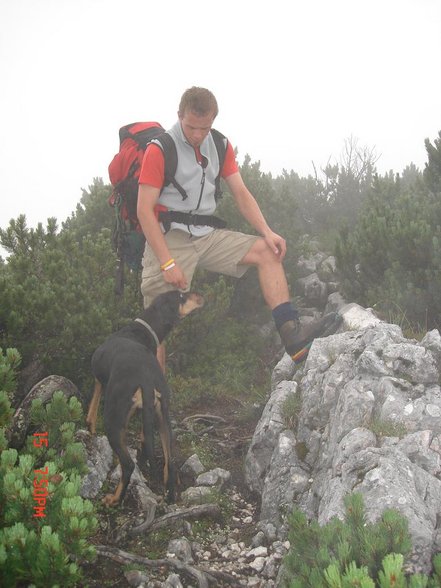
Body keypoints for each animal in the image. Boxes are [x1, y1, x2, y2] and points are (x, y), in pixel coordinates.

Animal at [86, 292, 205, 508]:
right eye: (182, 296)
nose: (200, 296)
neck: (143, 329)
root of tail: (146, 376)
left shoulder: (100, 378)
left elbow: (94, 401)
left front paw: (90, 426)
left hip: (113, 420)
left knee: (128, 464)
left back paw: (114, 498)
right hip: (163, 417)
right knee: (169, 462)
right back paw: (170, 494)